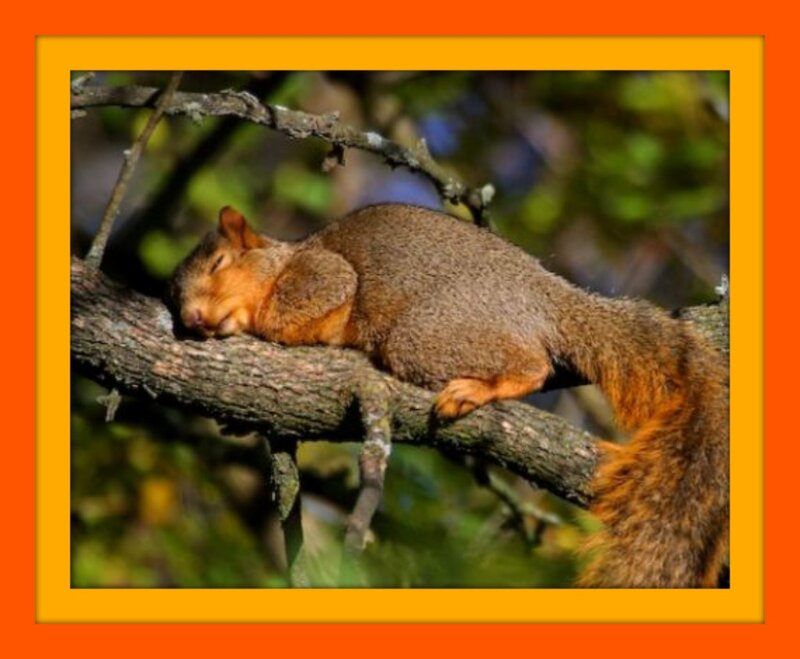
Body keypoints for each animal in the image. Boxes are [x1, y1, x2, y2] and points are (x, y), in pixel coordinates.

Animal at [170, 203, 729, 588]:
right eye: (174, 296)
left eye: (218, 262)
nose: (193, 319)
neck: (283, 261)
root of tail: (548, 301)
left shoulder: (322, 276)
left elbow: (308, 301)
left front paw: (246, 323)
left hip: (423, 335)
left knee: (532, 366)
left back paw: (475, 389)